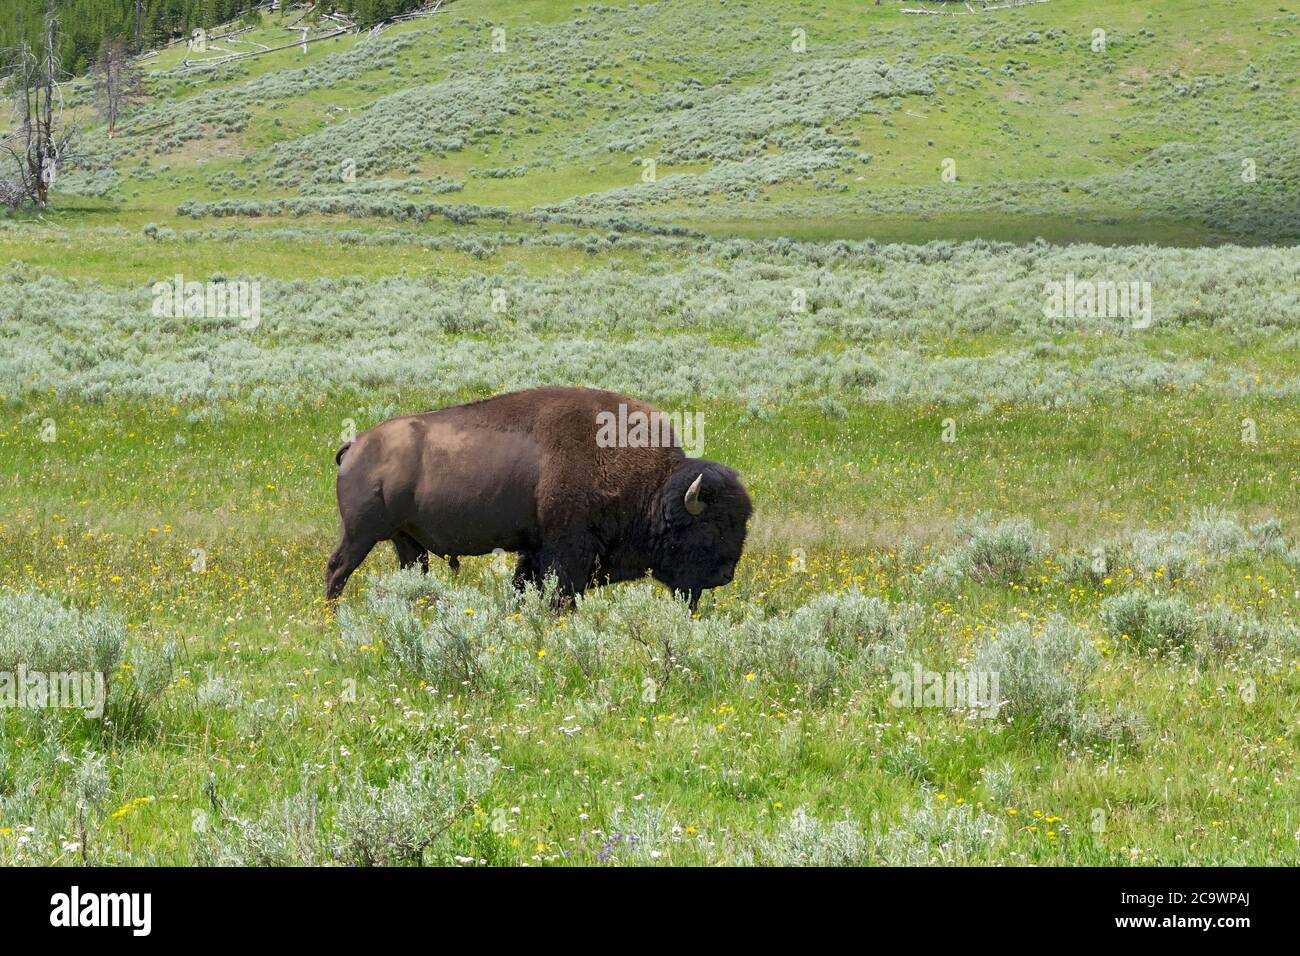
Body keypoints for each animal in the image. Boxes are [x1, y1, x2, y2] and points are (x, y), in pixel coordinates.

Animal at [325, 385, 754, 608]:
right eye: (709, 527)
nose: (725, 575)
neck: (653, 485)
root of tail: (356, 444)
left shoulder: (536, 549)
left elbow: (523, 584)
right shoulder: (567, 549)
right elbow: (562, 593)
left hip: (407, 540)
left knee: (411, 571)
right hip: (361, 534)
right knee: (337, 569)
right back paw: (332, 614)